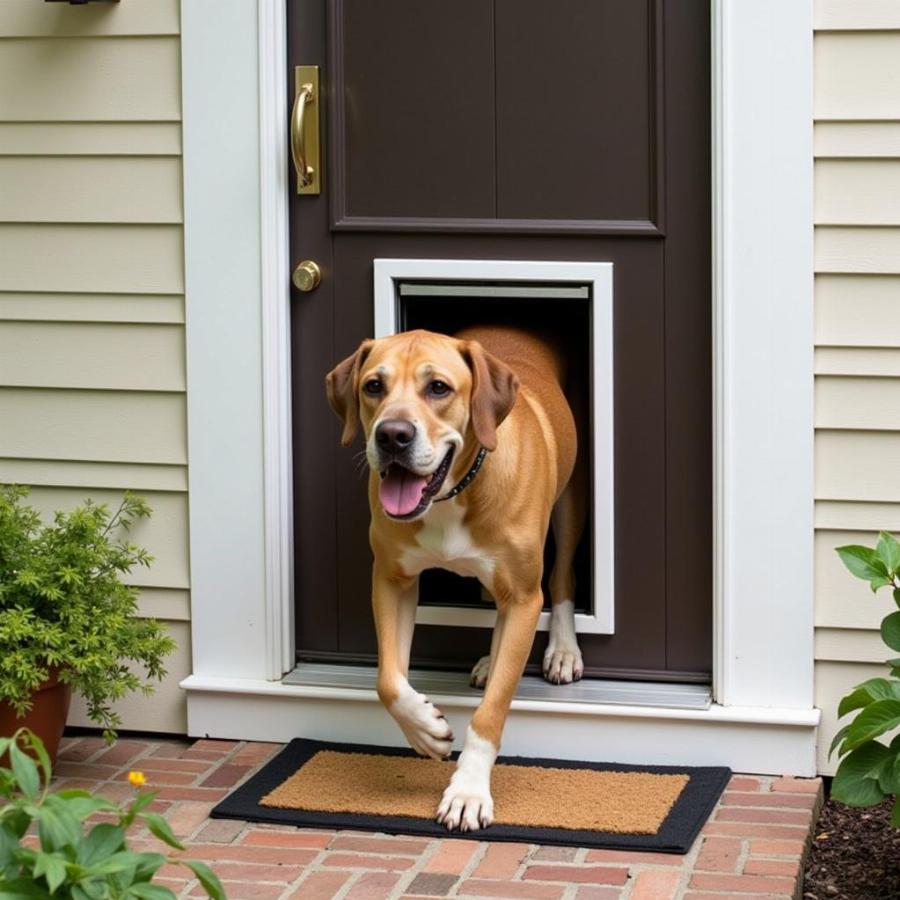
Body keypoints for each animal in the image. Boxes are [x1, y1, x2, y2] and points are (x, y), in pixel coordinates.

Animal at [326, 326, 588, 828]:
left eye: (438, 388)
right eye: (374, 386)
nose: (393, 435)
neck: (451, 493)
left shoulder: (524, 596)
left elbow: (490, 712)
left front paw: (468, 790)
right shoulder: (391, 580)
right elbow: (389, 680)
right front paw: (425, 729)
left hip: (569, 504)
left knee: (561, 578)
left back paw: (563, 650)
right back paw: (490, 661)